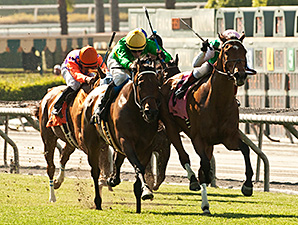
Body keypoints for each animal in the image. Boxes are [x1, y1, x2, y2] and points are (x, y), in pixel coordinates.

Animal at [80, 58, 162, 213]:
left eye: (157, 84)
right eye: (140, 83)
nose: (152, 112)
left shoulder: (146, 147)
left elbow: (138, 170)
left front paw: (139, 202)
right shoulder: (126, 141)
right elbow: (138, 167)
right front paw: (147, 191)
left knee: (117, 160)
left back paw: (112, 179)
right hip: (93, 143)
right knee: (95, 171)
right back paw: (98, 201)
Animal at [159, 32, 255, 214]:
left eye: (245, 52)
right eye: (227, 51)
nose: (240, 75)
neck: (217, 102)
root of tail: (170, 80)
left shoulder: (229, 138)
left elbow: (246, 150)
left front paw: (247, 186)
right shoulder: (198, 139)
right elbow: (203, 165)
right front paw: (205, 204)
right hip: (171, 127)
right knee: (183, 156)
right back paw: (193, 180)